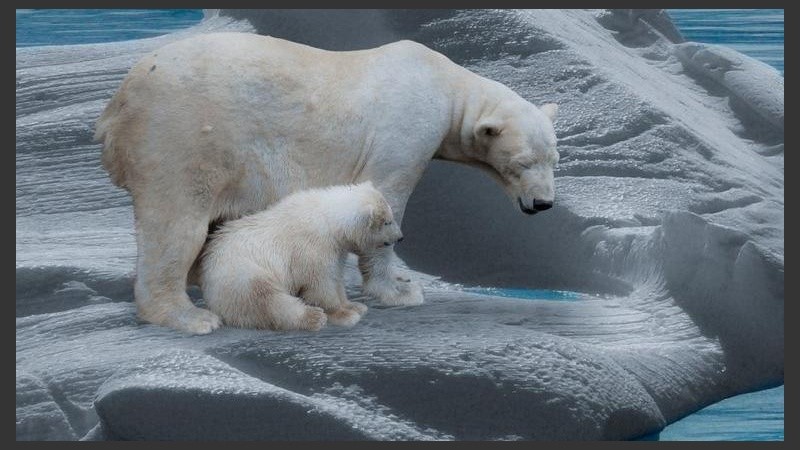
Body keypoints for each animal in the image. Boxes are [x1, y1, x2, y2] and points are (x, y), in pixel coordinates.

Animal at [199, 182, 404, 331]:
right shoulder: (312, 248)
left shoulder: (335, 250)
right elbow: (319, 285)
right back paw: (313, 317)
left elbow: (336, 277)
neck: (327, 220)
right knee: (269, 300)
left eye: (391, 217)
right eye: (387, 222)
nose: (400, 237)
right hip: (243, 274)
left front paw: (355, 306)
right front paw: (344, 315)